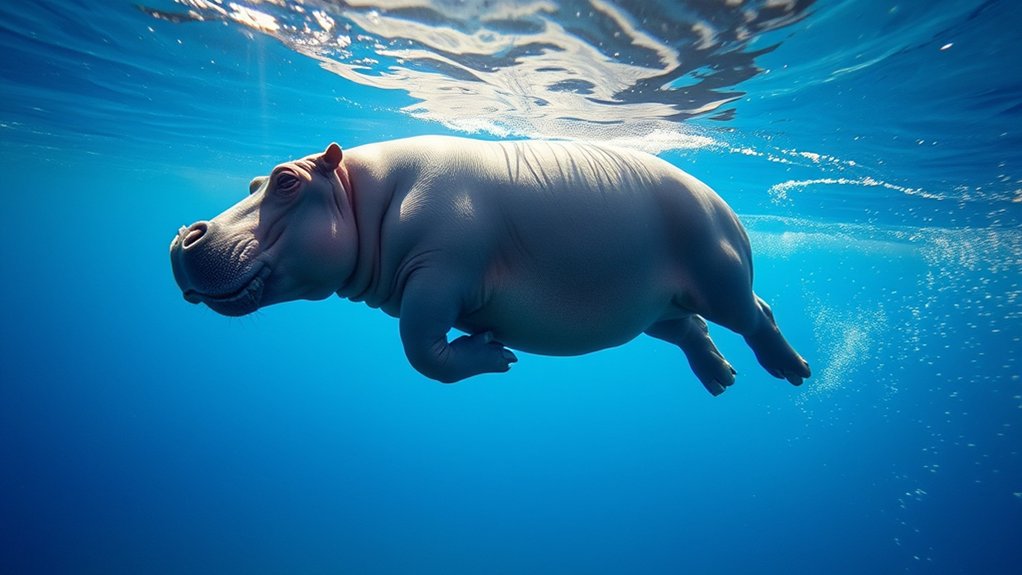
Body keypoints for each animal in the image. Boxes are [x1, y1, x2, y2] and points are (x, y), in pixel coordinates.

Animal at [169, 136, 810, 394]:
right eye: (253, 181)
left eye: (284, 181)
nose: (182, 237)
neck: (360, 194)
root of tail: (724, 205)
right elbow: (424, 351)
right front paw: (492, 347)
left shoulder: (436, 275)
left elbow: (422, 352)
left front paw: (494, 354)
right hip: (651, 308)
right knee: (690, 330)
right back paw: (720, 379)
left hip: (720, 279)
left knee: (757, 313)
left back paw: (793, 370)